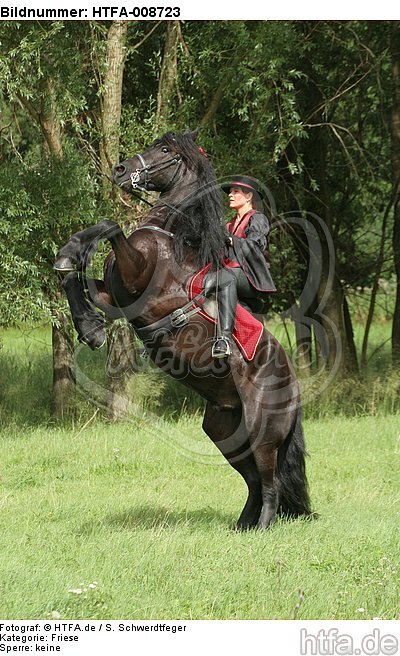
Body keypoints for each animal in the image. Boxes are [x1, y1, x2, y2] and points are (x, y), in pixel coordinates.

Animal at [54, 128, 312, 530]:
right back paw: (241, 527)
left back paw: (263, 527)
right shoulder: (115, 294)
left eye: (164, 150)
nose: (120, 169)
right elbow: (73, 279)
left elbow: (110, 225)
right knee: (254, 480)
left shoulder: (135, 278)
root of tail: (294, 385)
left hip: (262, 429)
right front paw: (89, 324)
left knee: (271, 481)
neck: (165, 234)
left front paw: (74, 253)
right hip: (225, 429)